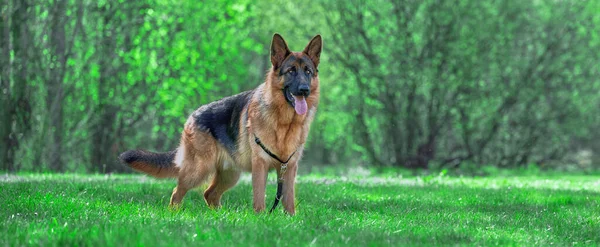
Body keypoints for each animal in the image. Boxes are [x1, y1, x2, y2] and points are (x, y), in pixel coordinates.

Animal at [119, 33, 322, 215]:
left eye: (308, 72)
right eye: (291, 71)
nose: (304, 90)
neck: (284, 123)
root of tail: (192, 116)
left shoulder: (289, 168)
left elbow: (289, 201)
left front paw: (291, 219)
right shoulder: (260, 166)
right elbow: (259, 198)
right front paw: (260, 218)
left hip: (230, 175)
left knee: (210, 194)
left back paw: (221, 217)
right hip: (197, 171)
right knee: (177, 192)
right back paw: (175, 214)